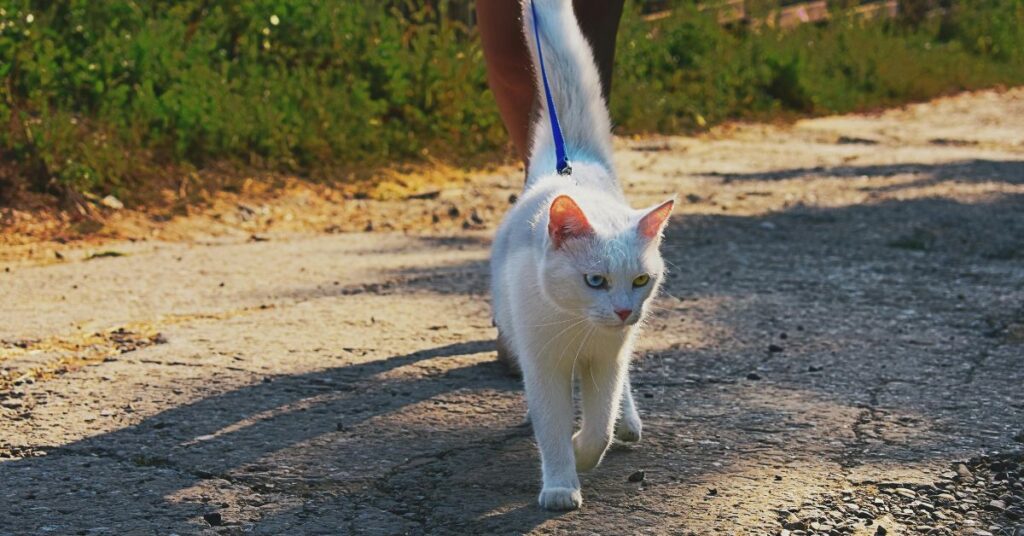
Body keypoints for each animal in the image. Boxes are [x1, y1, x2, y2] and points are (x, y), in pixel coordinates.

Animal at [491, 0, 675, 512]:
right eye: (595, 280)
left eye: (640, 280)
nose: (624, 310)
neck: (578, 327)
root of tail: (573, 163)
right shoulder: (544, 366)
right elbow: (551, 428)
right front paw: (560, 483)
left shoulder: (605, 362)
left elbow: (599, 425)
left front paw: (583, 450)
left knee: (620, 394)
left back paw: (629, 422)